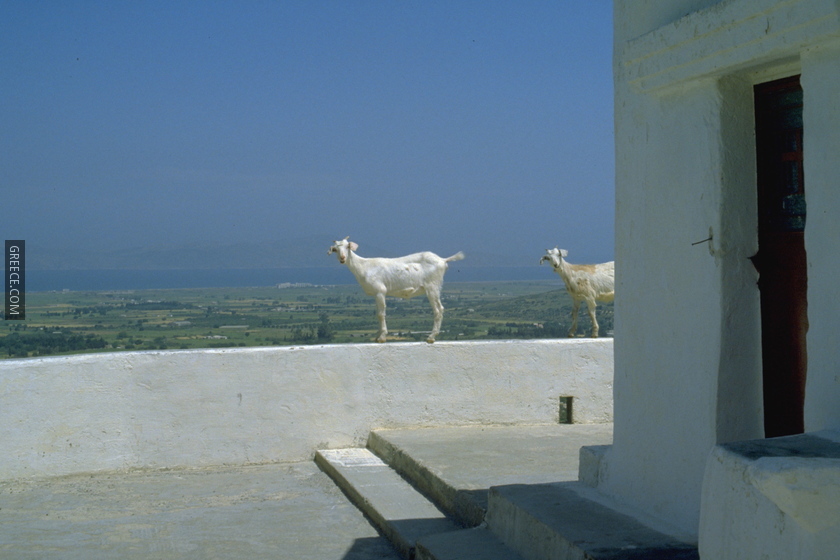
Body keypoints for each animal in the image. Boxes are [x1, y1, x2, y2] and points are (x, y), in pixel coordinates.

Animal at [328, 237, 465, 343]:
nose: (342, 258)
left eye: (348, 246)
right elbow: (377, 314)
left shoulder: (380, 291)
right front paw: (377, 336)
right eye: (335, 249)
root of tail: (443, 260)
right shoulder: (376, 294)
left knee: (438, 309)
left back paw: (431, 337)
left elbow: (381, 314)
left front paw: (382, 337)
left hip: (432, 287)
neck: (364, 266)